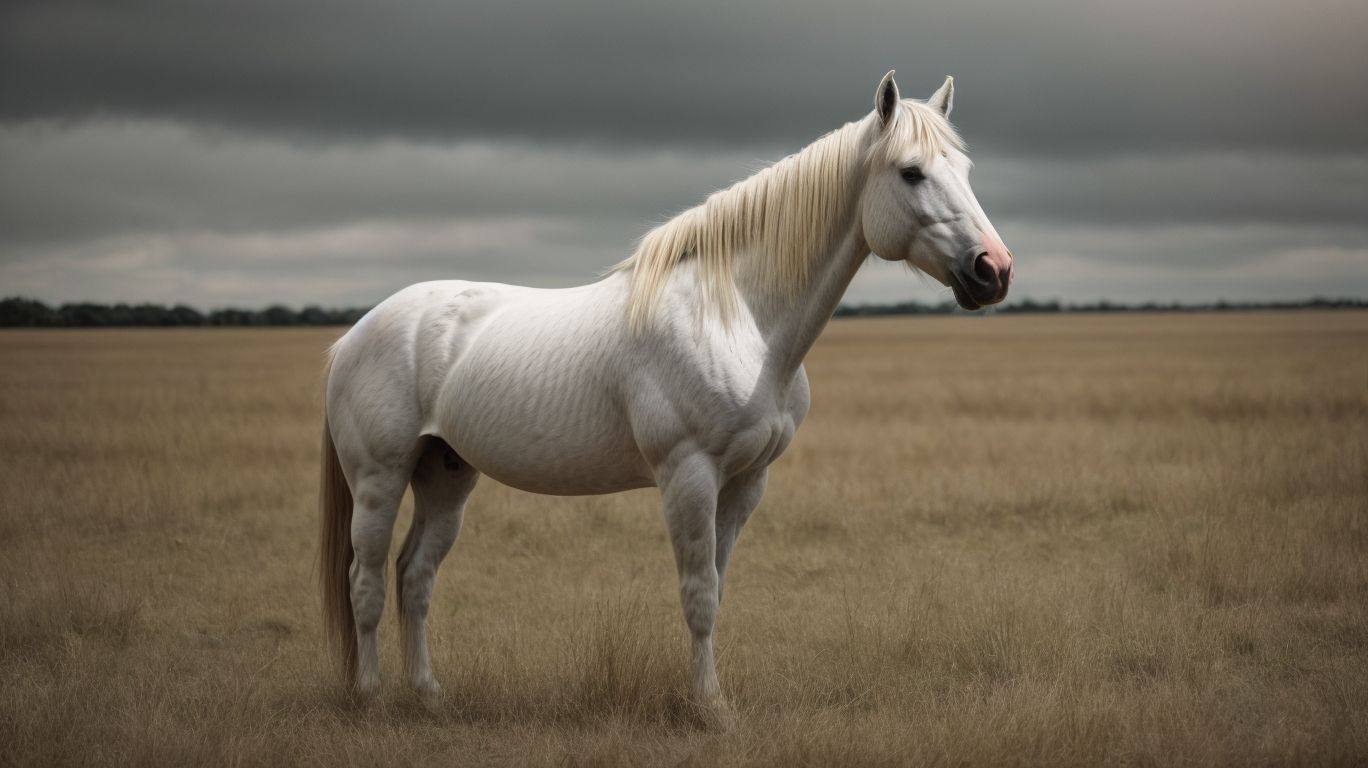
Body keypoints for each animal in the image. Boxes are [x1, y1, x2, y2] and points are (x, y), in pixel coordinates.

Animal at [318, 71, 1013, 725]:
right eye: (911, 172)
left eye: (966, 170)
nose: (994, 270)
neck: (738, 318)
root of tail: (353, 336)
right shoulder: (689, 475)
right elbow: (697, 595)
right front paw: (710, 709)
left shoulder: (746, 483)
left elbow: (718, 588)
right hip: (380, 479)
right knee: (366, 582)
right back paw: (371, 699)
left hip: (446, 475)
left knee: (415, 577)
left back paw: (429, 698)